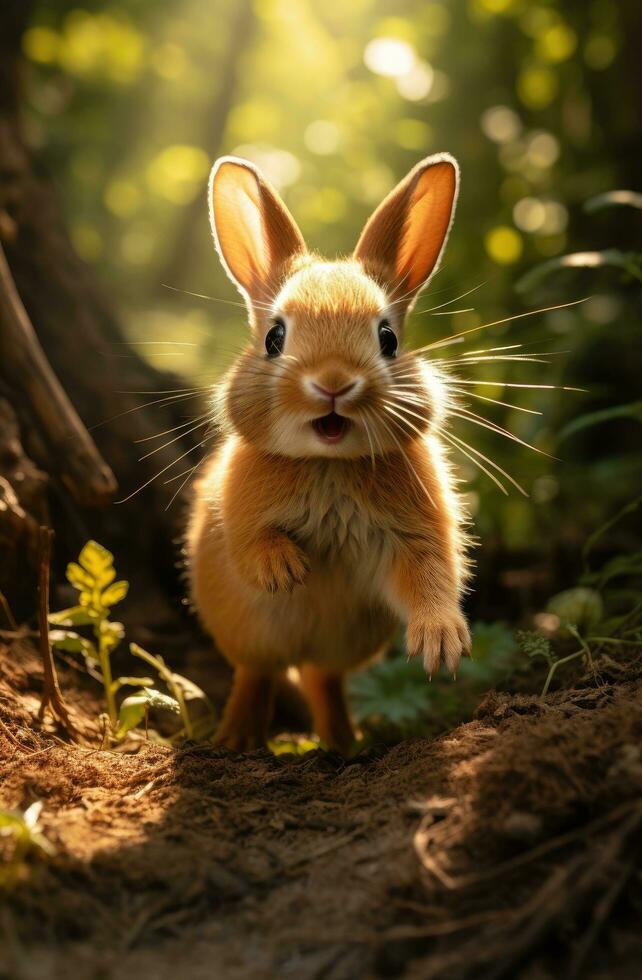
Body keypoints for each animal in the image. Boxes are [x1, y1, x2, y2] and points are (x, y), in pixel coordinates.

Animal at [185, 153, 470, 756]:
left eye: (387, 338)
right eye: (275, 337)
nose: (334, 382)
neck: (328, 464)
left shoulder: (418, 534)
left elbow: (431, 575)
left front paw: (441, 643)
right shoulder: (238, 518)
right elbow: (252, 546)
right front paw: (288, 571)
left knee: (324, 679)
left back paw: (344, 746)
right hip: (252, 637)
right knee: (259, 674)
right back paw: (236, 741)